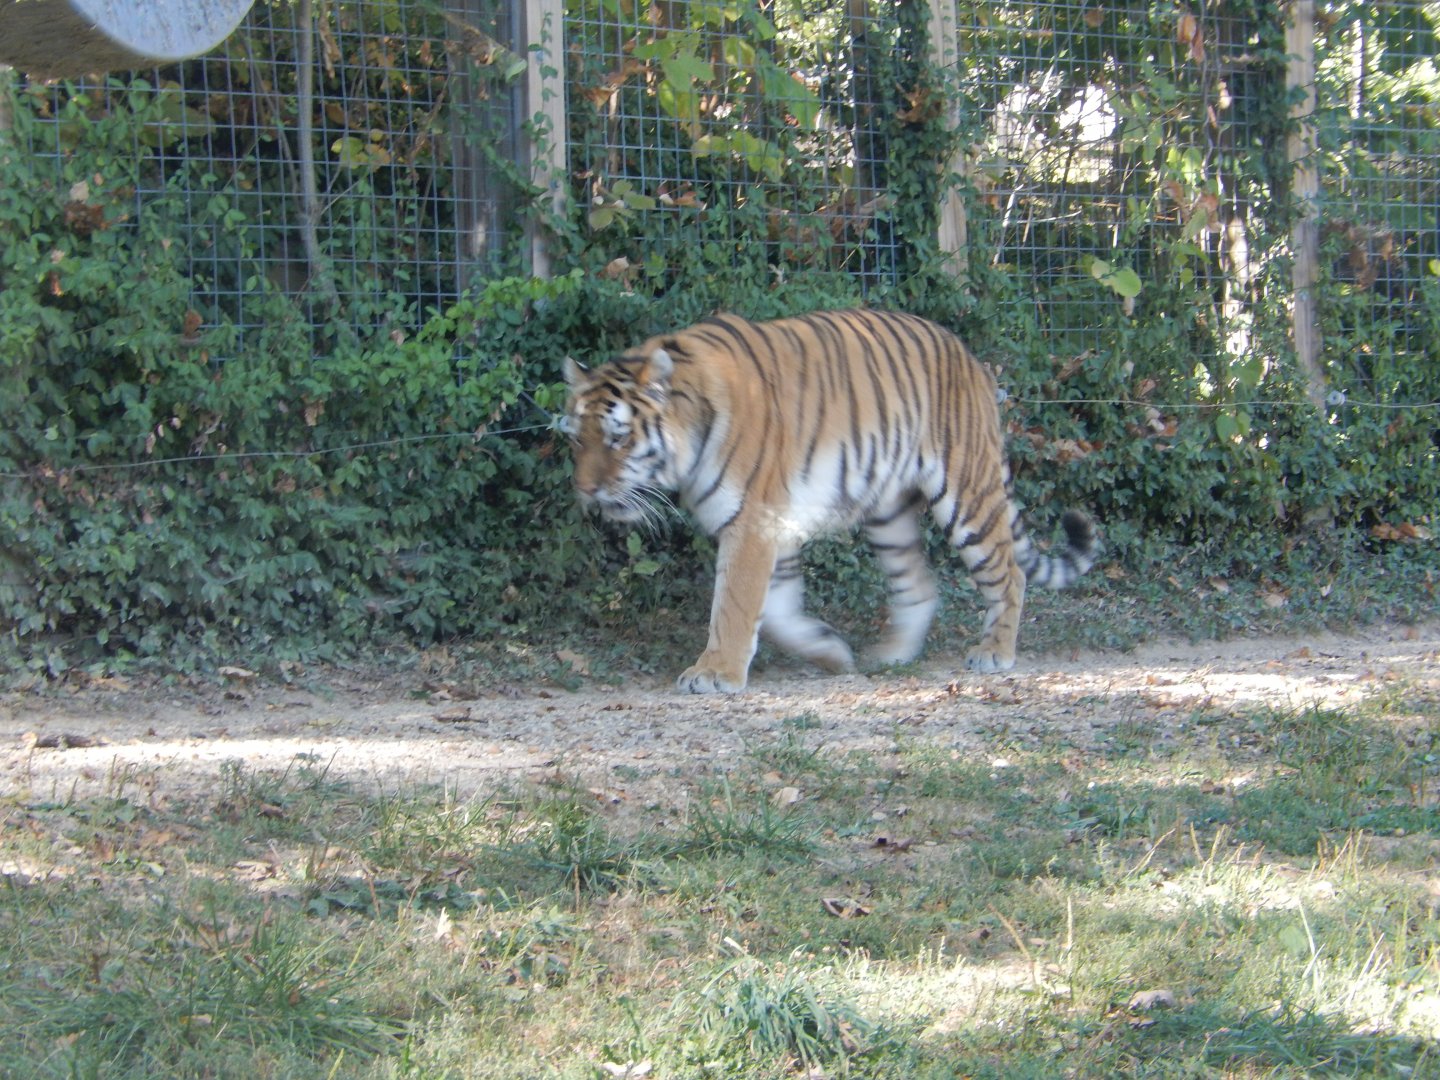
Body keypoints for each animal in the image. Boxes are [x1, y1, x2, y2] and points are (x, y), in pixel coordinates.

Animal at [560, 308, 1098, 693]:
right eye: (577, 438)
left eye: (618, 438)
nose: (584, 491)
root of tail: (972, 359)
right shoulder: (773, 524)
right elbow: (776, 610)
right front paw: (830, 651)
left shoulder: (752, 522)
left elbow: (733, 604)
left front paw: (715, 673)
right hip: (889, 513)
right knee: (918, 584)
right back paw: (893, 653)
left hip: (968, 494)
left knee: (1010, 572)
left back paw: (994, 651)